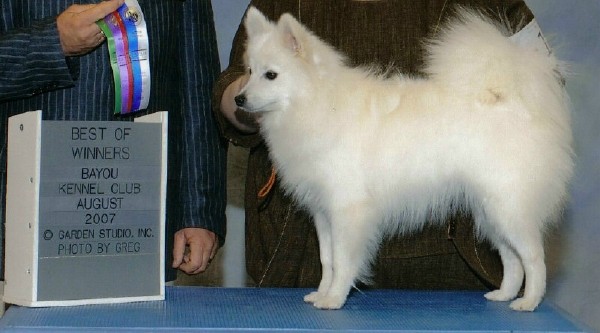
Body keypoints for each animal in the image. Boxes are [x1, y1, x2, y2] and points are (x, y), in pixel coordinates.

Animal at [233, 6, 572, 310]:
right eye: (249, 72)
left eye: (271, 75)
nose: (238, 99)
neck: (315, 101)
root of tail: (508, 97)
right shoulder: (323, 212)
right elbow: (327, 259)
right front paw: (321, 294)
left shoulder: (348, 211)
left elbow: (342, 260)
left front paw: (334, 299)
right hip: (490, 212)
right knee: (512, 259)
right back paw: (503, 295)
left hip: (508, 207)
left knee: (533, 258)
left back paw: (529, 302)